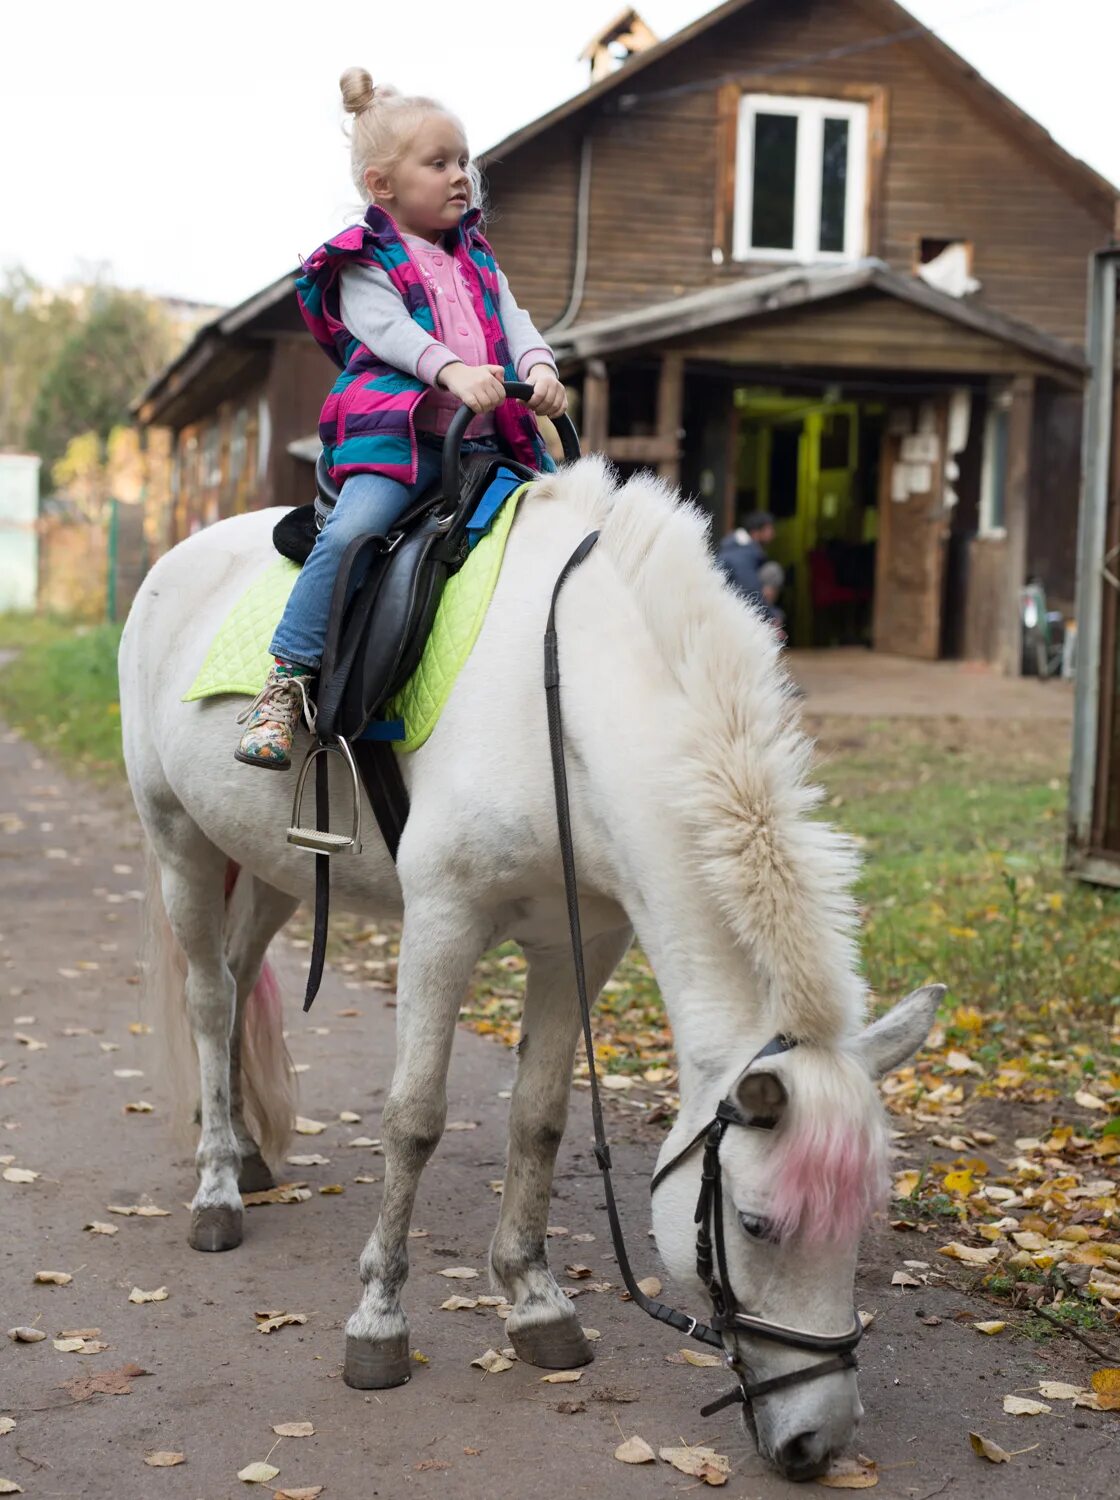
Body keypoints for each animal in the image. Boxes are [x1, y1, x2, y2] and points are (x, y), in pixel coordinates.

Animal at [118, 459, 941, 1488]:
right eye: (754, 1224)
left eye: (861, 1221)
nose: (815, 1444)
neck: (563, 700)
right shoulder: (443, 920)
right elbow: (414, 1120)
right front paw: (378, 1322)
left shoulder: (581, 942)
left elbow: (541, 1119)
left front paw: (535, 1301)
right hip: (178, 844)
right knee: (207, 996)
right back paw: (218, 1189)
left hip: (268, 867)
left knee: (235, 985)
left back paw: (243, 1146)